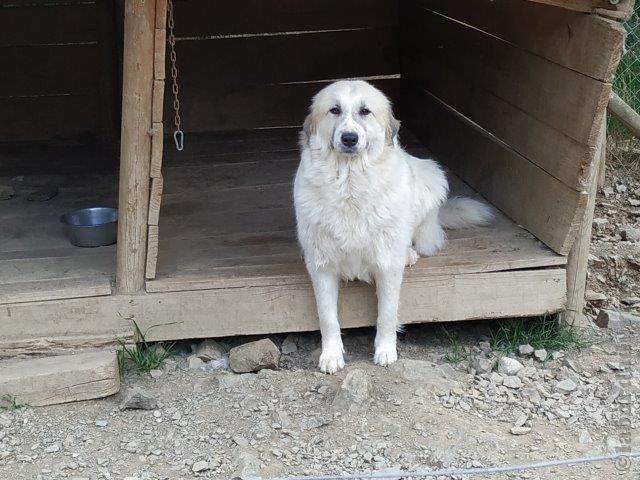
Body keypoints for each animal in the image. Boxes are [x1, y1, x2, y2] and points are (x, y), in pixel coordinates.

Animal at [292, 81, 492, 376]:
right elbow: (328, 317)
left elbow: (387, 313)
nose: (349, 138)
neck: (350, 184)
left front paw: (386, 351)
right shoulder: (322, 267)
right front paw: (331, 355)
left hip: (430, 177)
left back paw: (409, 254)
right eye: (334, 110)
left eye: (365, 111)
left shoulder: (386, 265)